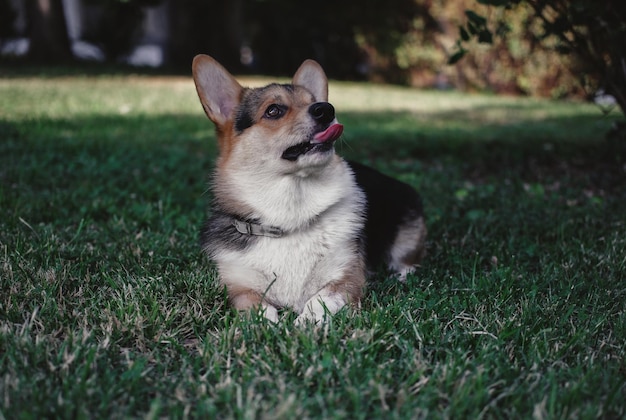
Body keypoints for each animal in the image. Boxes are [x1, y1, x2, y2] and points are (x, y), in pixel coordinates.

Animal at [190, 55, 424, 324]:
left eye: (314, 102)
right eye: (273, 110)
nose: (327, 109)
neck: (290, 214)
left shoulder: (346, 278)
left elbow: (320, 300)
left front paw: (306, 323)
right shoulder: (239, 287)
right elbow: (256, 307)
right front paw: (267, 325)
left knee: (408, 262)